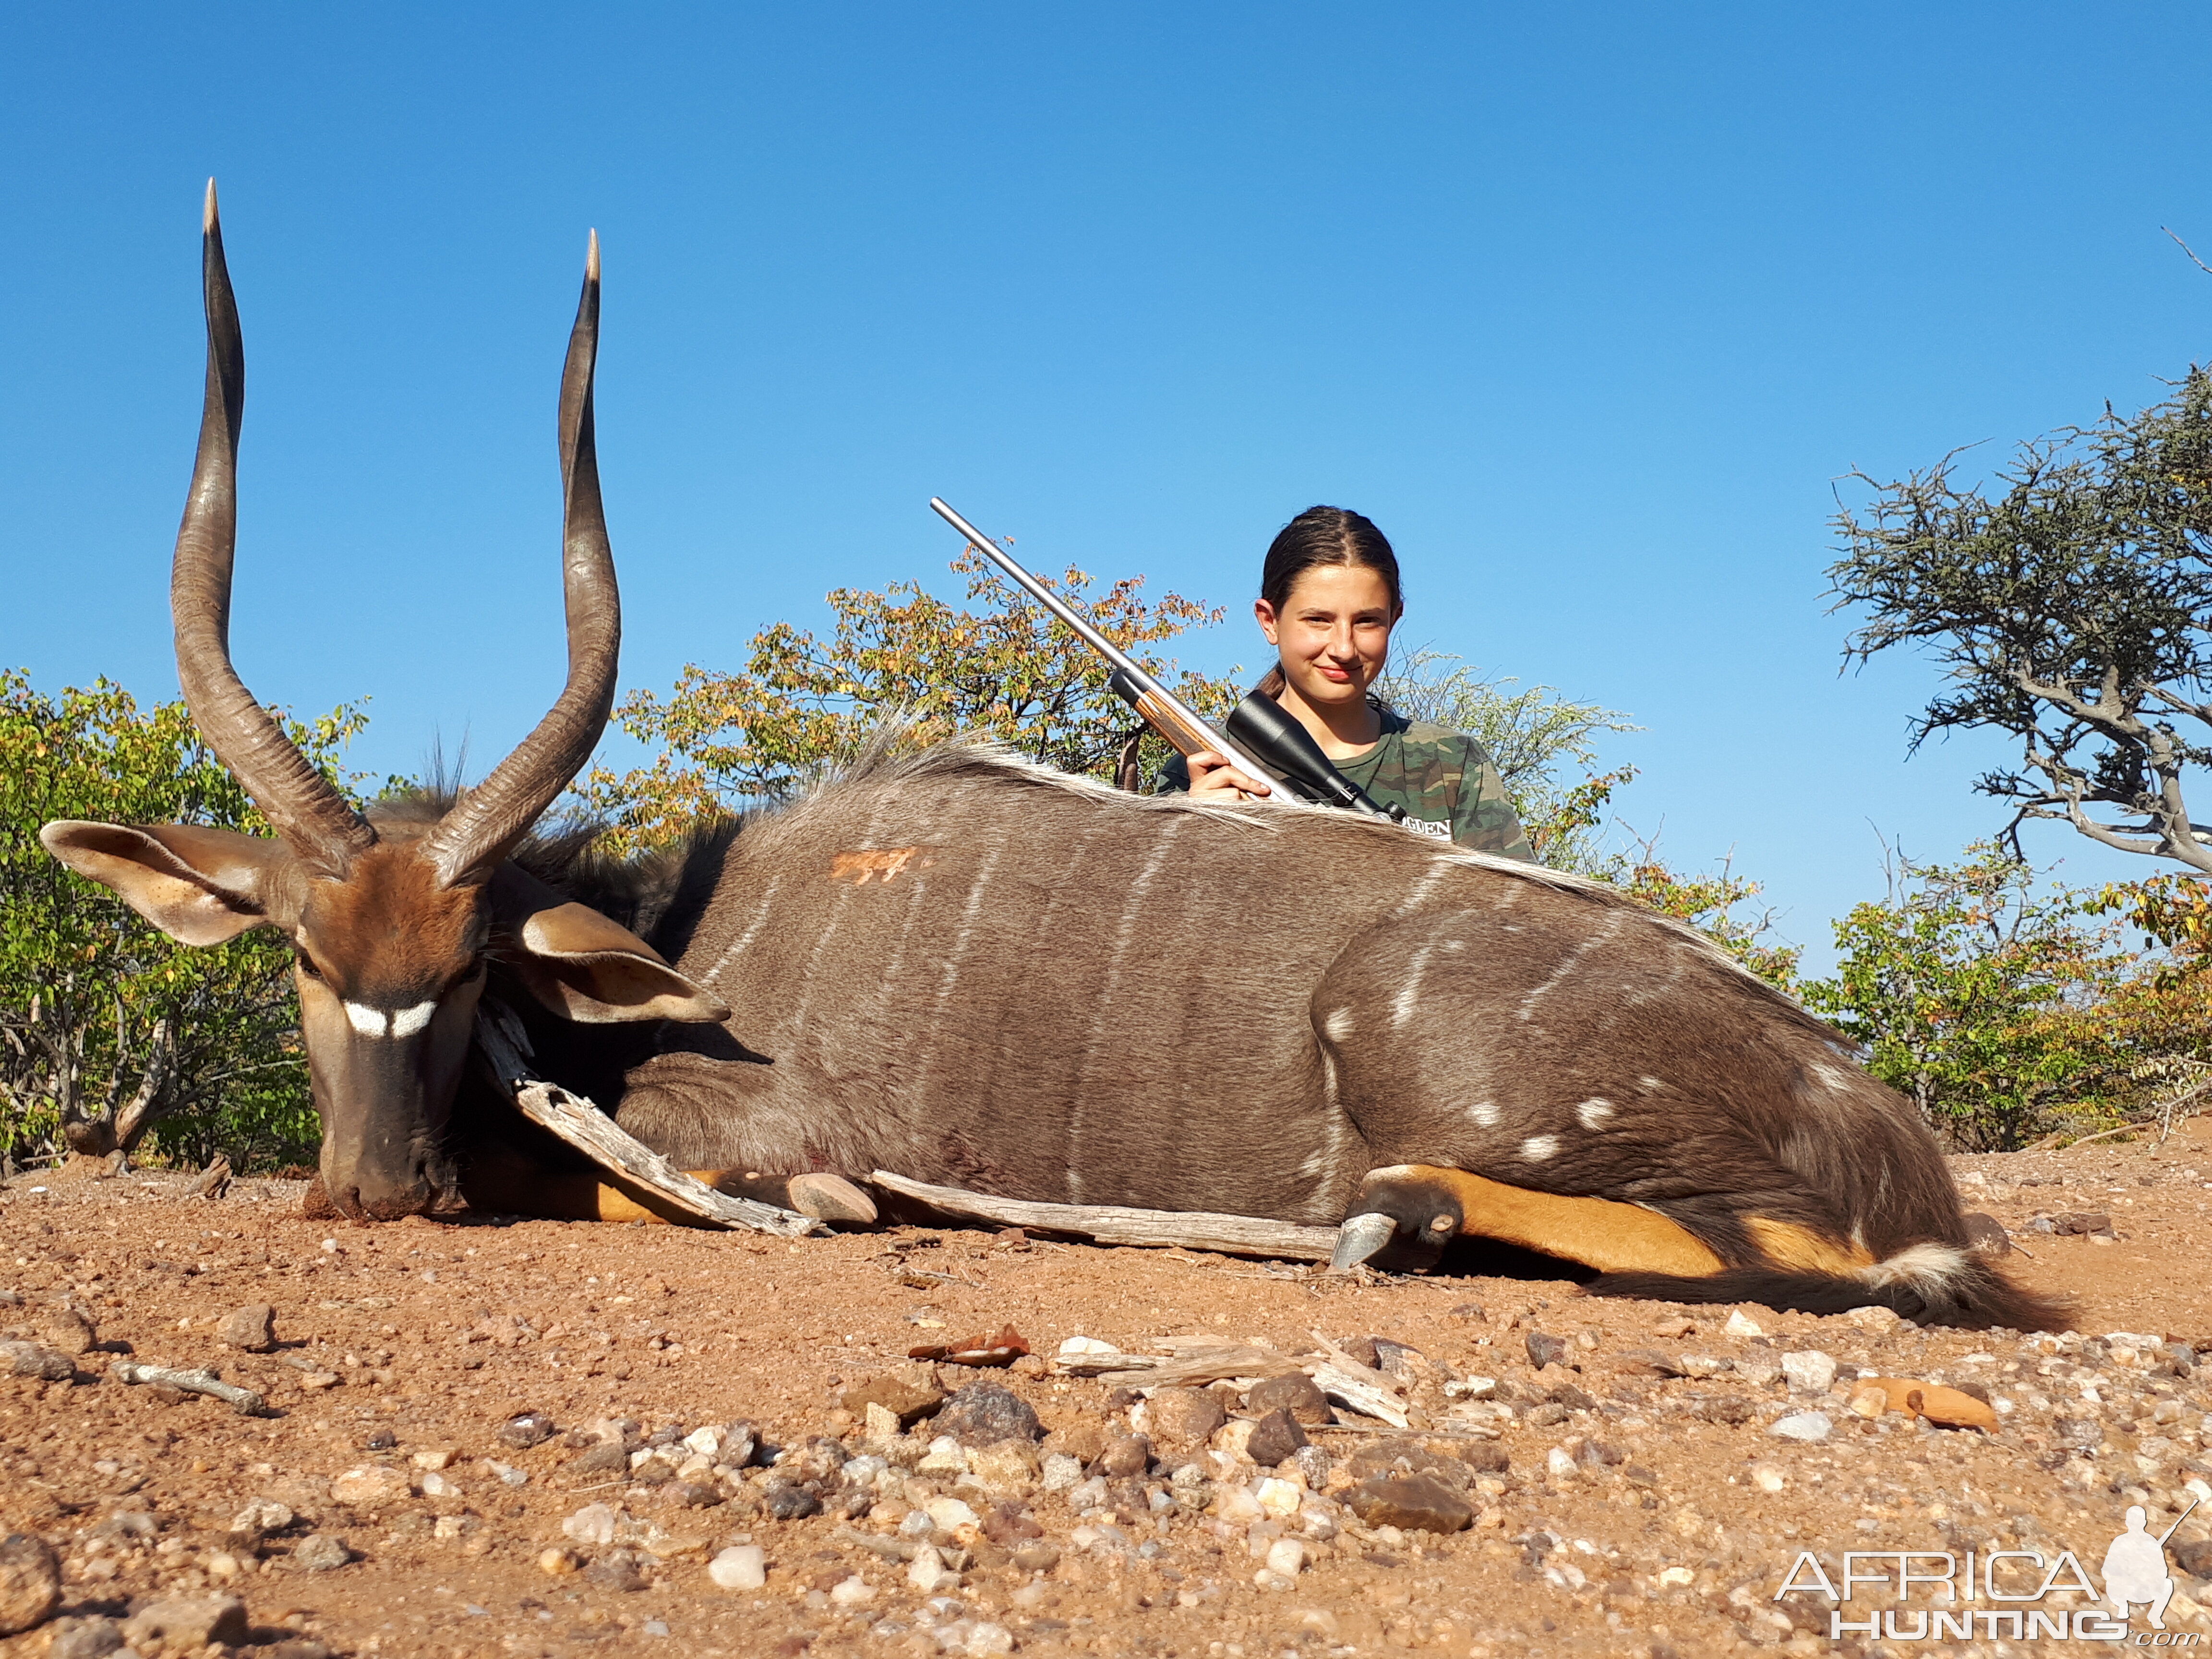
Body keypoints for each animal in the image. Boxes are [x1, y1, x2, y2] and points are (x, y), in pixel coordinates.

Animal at [39, 191, 2070, 1336]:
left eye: (467, 970)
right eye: (306, 959)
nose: (374, 1191)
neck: (672, 946)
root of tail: (1848, 1093)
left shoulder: (754, 1138)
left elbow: (744, 1188)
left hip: (1481, 1097)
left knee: (1790, 1255)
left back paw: (1374, 1226)